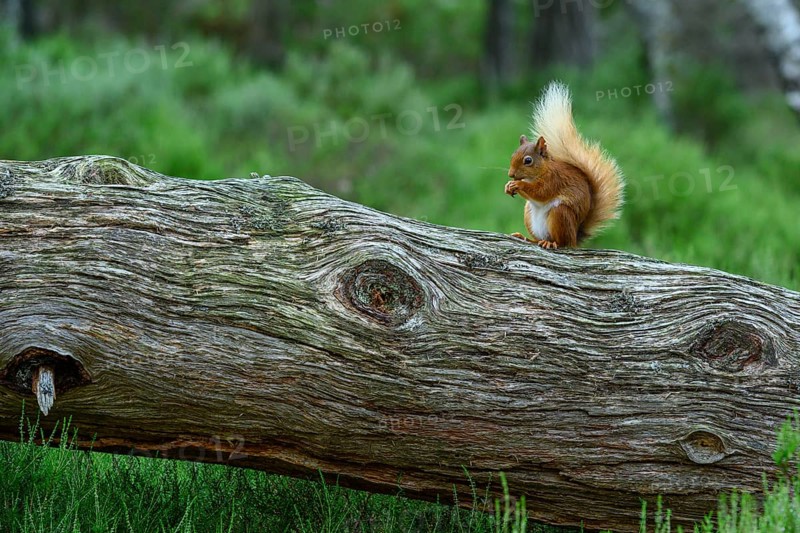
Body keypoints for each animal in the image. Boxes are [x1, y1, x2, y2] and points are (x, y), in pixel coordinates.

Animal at [505, 82, 624, 249]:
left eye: (528, 161)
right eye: (513, 155)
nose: (511, 174)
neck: (541, 171)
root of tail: (575, 237)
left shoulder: (554, 180)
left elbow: (540, 192)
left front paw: (518, 184)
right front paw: (509, 185)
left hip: (560, 214)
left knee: (562, 242)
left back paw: (550, 243)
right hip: (529, 214)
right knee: (537, 238)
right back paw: (526, 238)